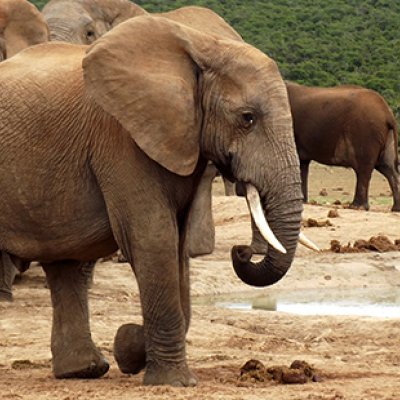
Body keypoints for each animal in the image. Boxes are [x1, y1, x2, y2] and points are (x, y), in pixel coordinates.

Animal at [0, 16, 304, 388]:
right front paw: (173, 381)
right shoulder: (121, 137)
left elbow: (178, 244)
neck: (202, 47)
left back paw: (84, 370)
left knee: (65, 262)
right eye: (248, 118)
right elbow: (154, 238)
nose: (241, 251)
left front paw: (128, 346)